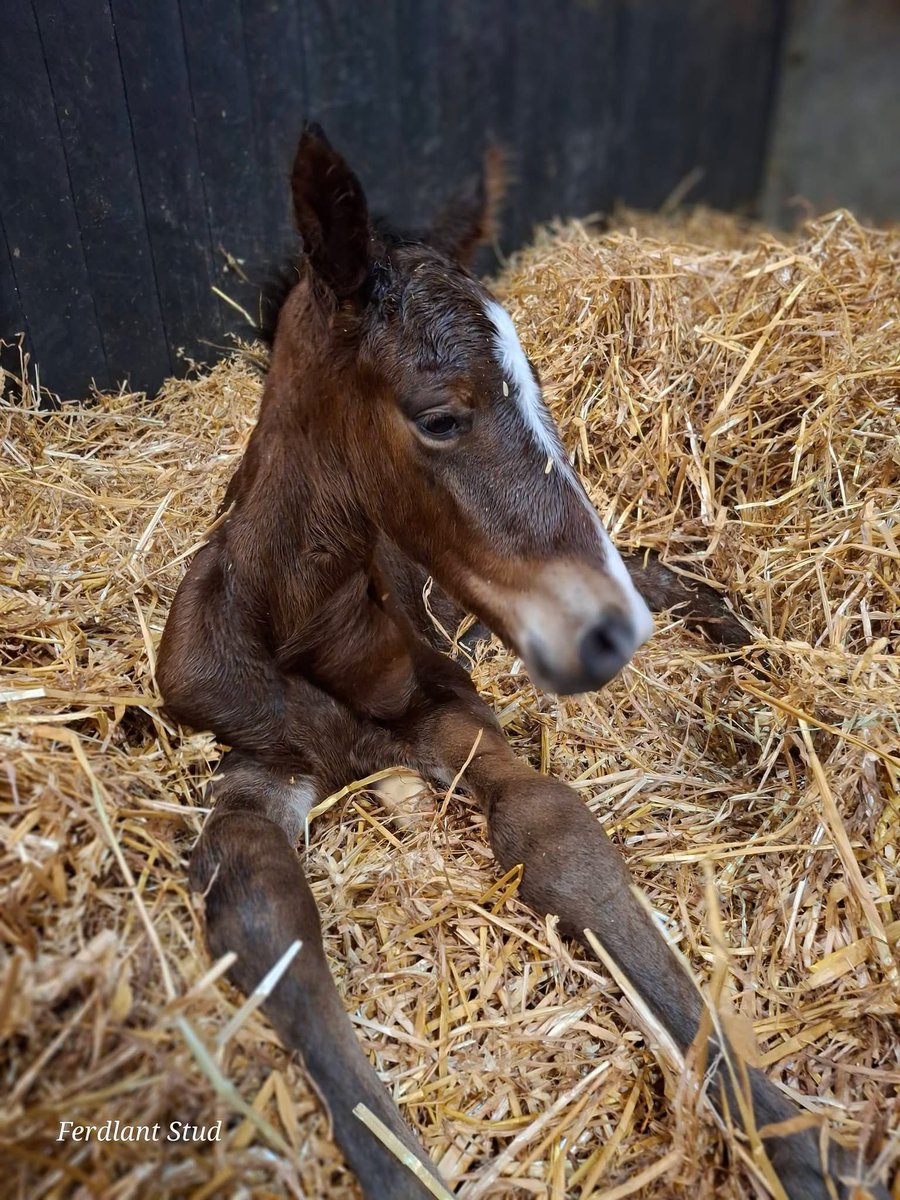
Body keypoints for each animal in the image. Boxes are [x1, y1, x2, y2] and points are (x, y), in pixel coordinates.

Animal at [157, 125, 885, 1200]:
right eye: (440, 415)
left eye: (538, 395)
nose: (605, 632)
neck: (318, 626)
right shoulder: (258, 759)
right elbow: (258, 902)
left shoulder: (457, 713)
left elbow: (555, 832)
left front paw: (799, 1144)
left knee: (658, 572)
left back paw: (760, 656)